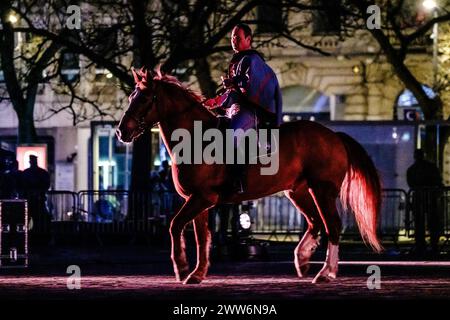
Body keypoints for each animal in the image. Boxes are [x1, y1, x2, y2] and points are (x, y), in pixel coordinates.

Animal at [116, 69, 384, 284]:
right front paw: (196, 273)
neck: (195, 138)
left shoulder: (202, 199)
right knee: (315, 222)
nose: (121, 131)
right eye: (130, 97)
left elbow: (175, 226)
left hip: (322, 190)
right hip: (297, 191)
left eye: (145, 98)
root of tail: (334, 135)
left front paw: (182, 267)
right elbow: (202, 237)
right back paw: (303, 259)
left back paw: (326, 272)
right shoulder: (197, 201)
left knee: (332, 225)